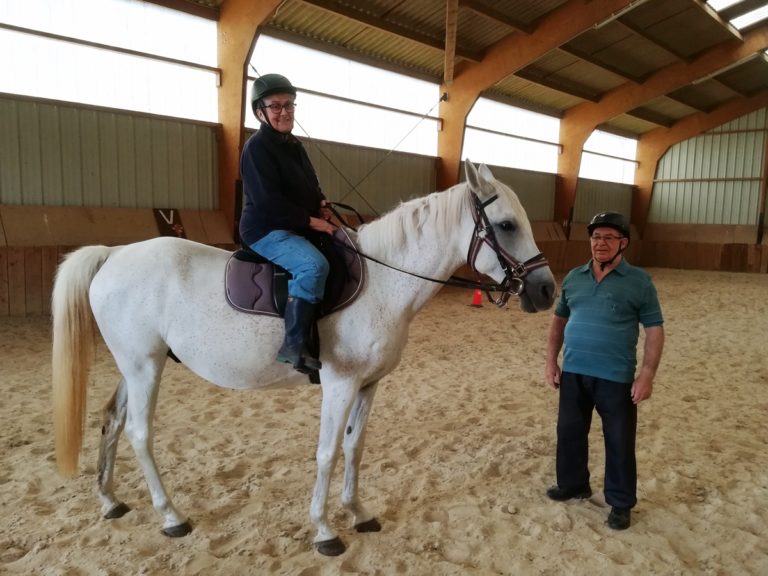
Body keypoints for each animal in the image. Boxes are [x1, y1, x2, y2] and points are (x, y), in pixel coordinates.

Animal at [51, 160, 556, 556]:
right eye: (507, 225)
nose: (546, 290)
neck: (382, 282)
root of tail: (114, 254)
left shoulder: (369, 385)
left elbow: (354, 448)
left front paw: (359, 512)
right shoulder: (340, 384)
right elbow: (328, 452)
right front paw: (324, 530)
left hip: (132, 366)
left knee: (112, 421)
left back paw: (110, 501)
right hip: (144, 367)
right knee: (139, 433)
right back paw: (171, 516)